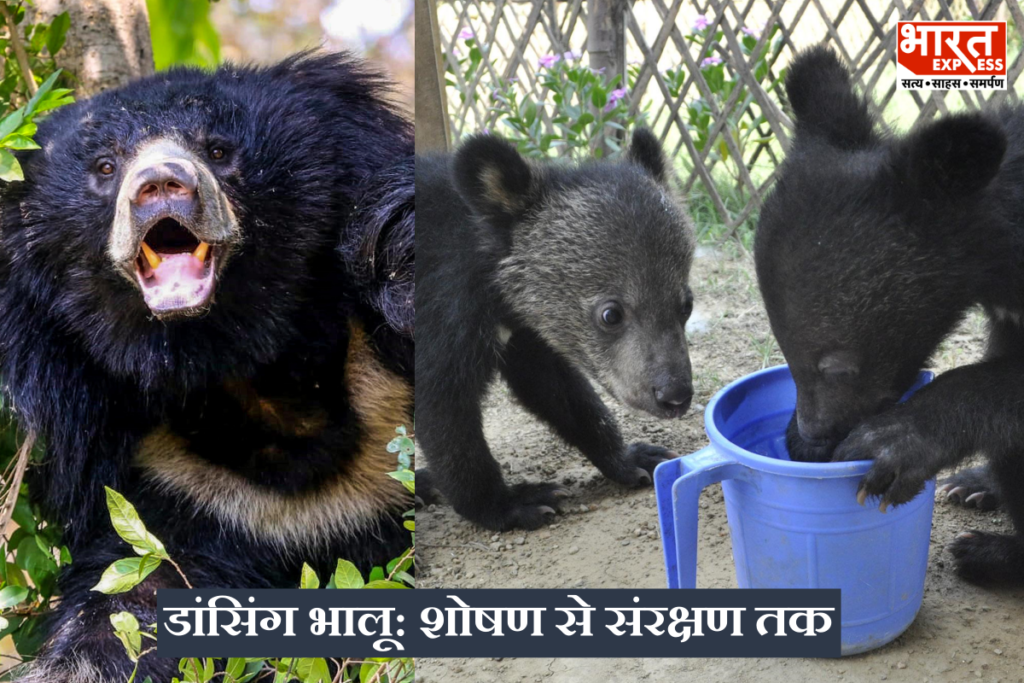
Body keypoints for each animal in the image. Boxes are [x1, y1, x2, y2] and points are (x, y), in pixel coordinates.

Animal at [416, 129, 696, 531]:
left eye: (686, 304)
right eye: (611, 314)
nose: (675, 395)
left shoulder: (523, 333)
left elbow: (557, 389)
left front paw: (633, 458)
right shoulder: (438, 314)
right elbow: (443, 411)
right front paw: (513, 503)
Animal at [754, 45, 1024, 585]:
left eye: (837, 366)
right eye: (784, 352)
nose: (811, 439)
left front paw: (891, 443)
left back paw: (989, 551)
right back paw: (976, 486)